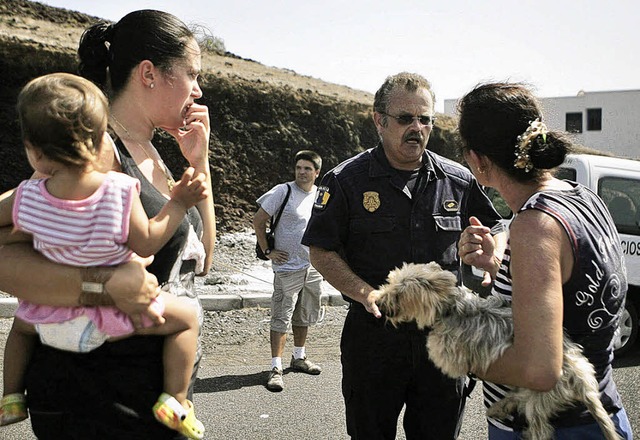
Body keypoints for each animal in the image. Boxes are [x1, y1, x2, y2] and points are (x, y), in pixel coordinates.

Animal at [376, 262, 620, 438]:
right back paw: (499, 408)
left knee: (540, 426)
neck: (451, 307)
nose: (377, 302)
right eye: (390, 282)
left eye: (399, 294)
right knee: (519, 399)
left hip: (540, 396)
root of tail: (582, 377)